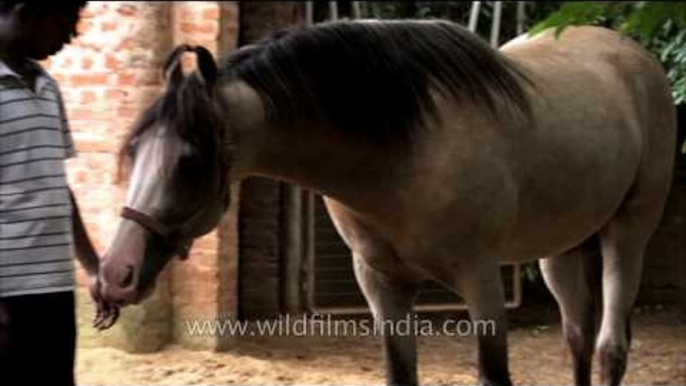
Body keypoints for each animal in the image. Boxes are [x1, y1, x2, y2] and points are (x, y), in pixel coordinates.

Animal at [95, 18, 676, 386]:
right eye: (135, 150)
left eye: (189, 160)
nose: (115, 277)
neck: (406, 149)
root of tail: (632, 55)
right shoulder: (381, 284)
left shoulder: (481, 280)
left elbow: (495, 375)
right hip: (560, 249)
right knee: (577, 340)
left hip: (629, 232)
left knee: (609, 348)